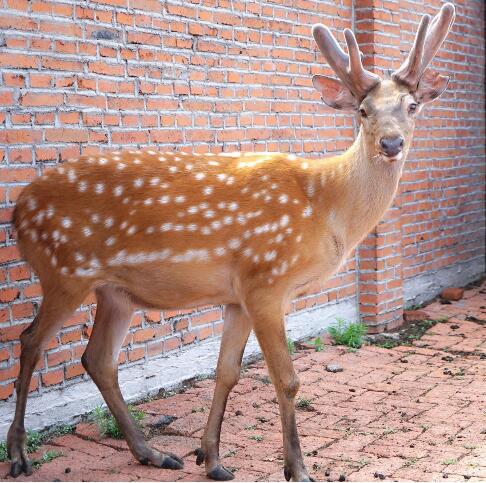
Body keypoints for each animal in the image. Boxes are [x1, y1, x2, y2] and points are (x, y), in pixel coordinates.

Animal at [7, 2, 456, 480]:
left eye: (412, 105)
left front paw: (212, 458)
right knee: (31, 341)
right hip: (64, 270)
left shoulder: (237, 295)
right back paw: (19, 454)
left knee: (97, 359)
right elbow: (286, 378)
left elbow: (227, 372)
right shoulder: (266, 280)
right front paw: (297, 468)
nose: (391, 143)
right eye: (363, 110)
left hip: (115, 292)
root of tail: (18, 211)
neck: (325, 208)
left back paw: (152, 452)